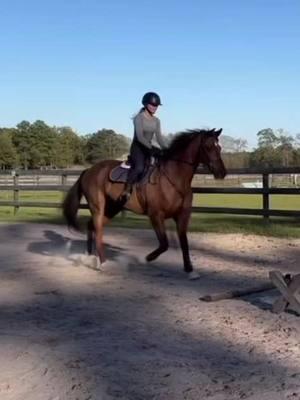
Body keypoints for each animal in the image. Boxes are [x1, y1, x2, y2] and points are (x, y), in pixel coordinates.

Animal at [62, 128, 226, 278]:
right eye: (208, 147)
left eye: (219, 147)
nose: (222, 172)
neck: (173, 178)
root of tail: (89, 170)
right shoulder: (156, 215)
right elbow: (164, 244)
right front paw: (144, 258)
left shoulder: (182, 215)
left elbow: (184, 242)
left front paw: (190, 270)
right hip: (98, 207)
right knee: (98, 230)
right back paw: (103, 263)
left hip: (112, 208)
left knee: (92, 226)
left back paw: (89, 256)